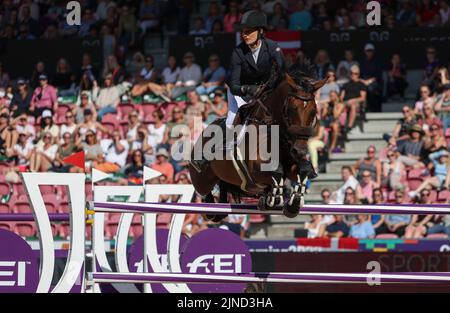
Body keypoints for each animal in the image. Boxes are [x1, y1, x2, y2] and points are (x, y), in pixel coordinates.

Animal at [187, 62, 326, 218]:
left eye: (314, 111)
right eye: (293, 108)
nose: (300, 150)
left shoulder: (291, 164)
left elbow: (304, 169)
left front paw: (292, 204)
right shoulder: (254, 171)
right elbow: (277, 171)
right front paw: (273, 199)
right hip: (202, 180)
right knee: (204, 192)